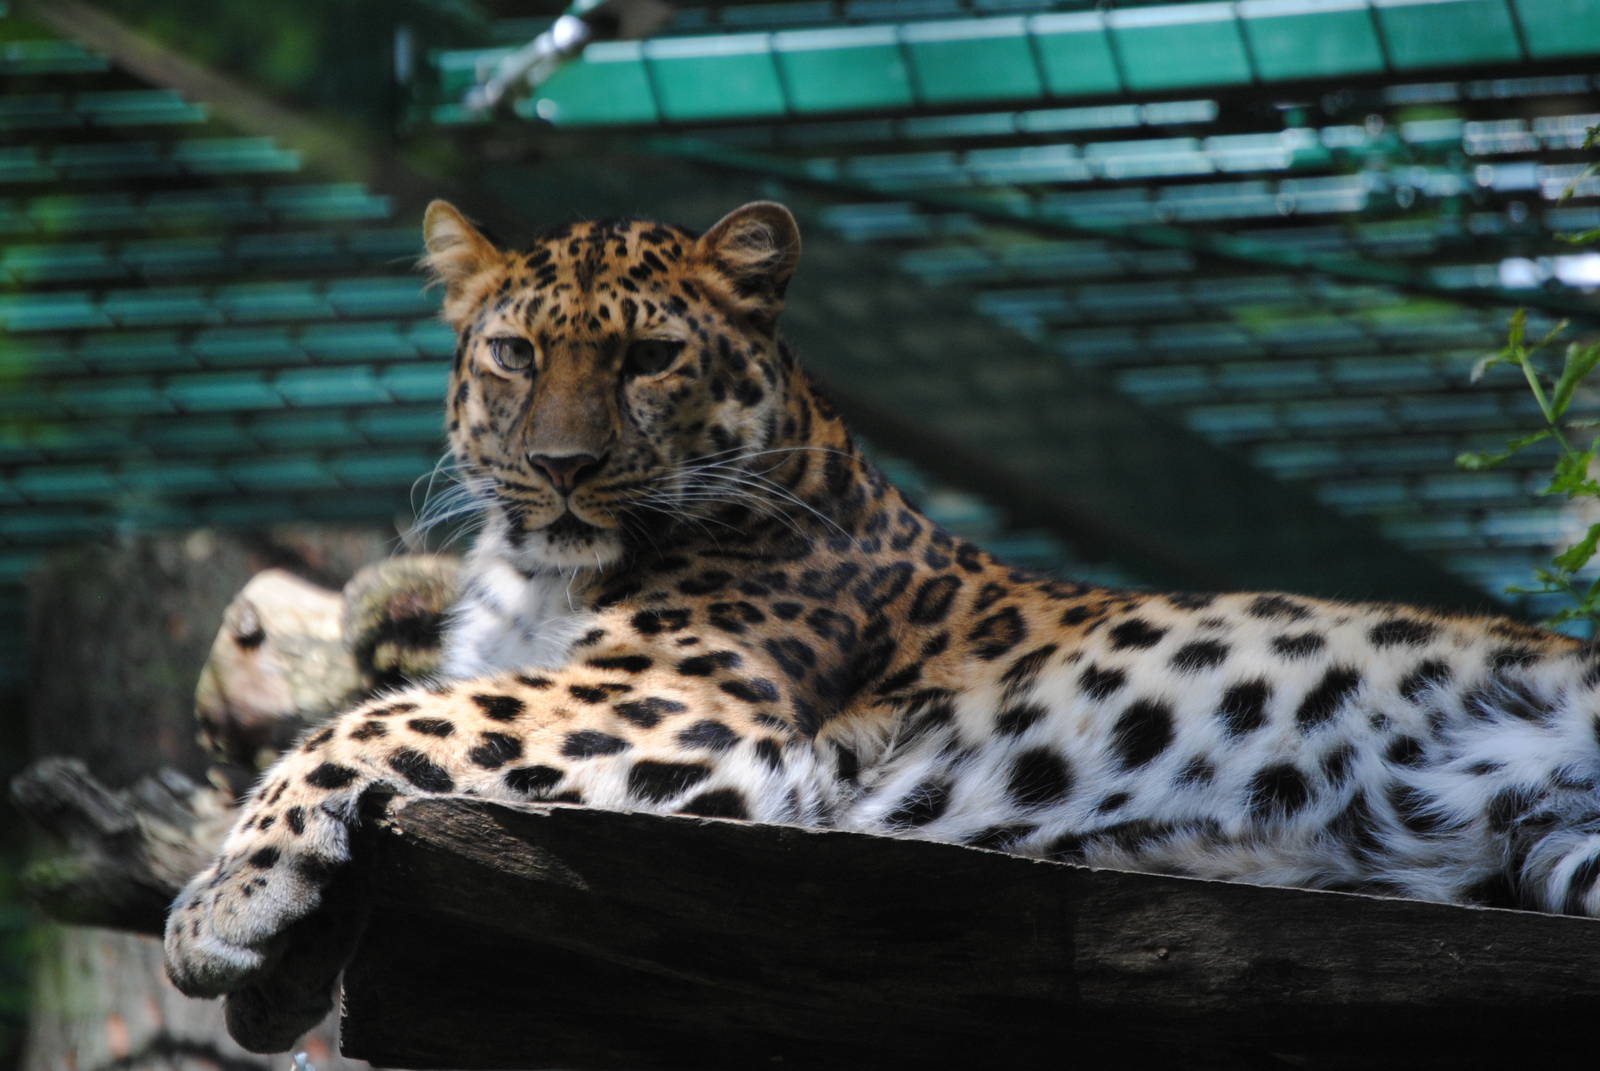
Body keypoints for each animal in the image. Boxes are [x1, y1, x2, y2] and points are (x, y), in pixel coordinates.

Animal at [165, 197, 1600, 1052]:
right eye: (514, 353)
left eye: (646, 360)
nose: (561, 467)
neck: (539, 573)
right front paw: (278, 962)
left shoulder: (678, 705)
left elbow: (358, 727)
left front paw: (216, 907)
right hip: (1553, 855)